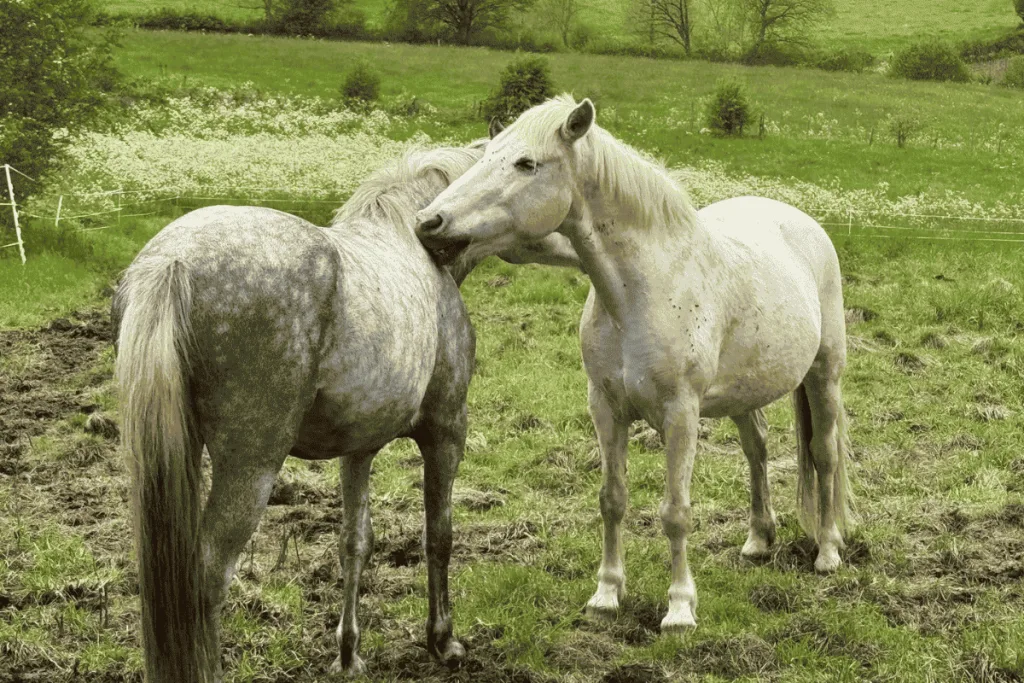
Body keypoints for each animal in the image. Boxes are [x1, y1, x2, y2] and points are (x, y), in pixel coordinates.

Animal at [112, 141, 581, 683]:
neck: (411, 244)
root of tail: (172, 261)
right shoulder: (446, 432)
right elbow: (438, 535)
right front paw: (442, 641)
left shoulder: (358, 449)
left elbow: (354, 542)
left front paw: (349, 652)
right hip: (250, 466)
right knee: (208, 576)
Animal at [414, 95, 854, 633]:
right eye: (485, 156)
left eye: (526, 164)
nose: (429, 223)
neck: (644, 290)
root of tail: (801, 222)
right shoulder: (606, 409)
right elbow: (612, 500)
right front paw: (606, 595)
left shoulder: (681, 415)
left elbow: (676, 512)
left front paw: (680, 608)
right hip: (744, 395)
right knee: (758, 450)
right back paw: (757, 540)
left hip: (824, 374)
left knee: (824, 453)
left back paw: (828, 551)